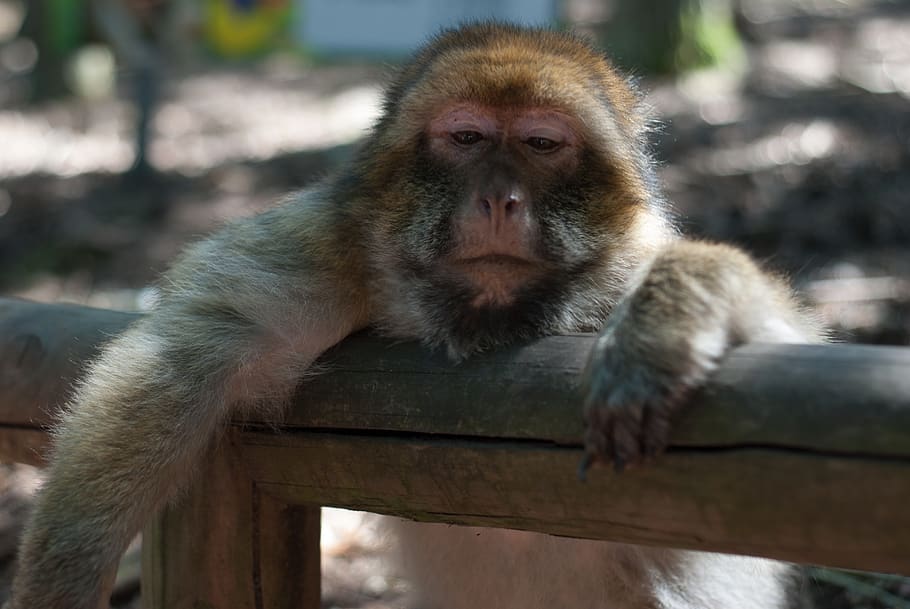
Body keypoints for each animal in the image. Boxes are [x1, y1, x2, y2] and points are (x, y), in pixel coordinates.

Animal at [6, 22, 821, 609]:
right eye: (466, 138)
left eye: (541, 143)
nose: (499, 199)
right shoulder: (325, 249)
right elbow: (188, 350)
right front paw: (59, 586)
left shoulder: (630, 260)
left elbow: (794, 365)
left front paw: (665, 323)